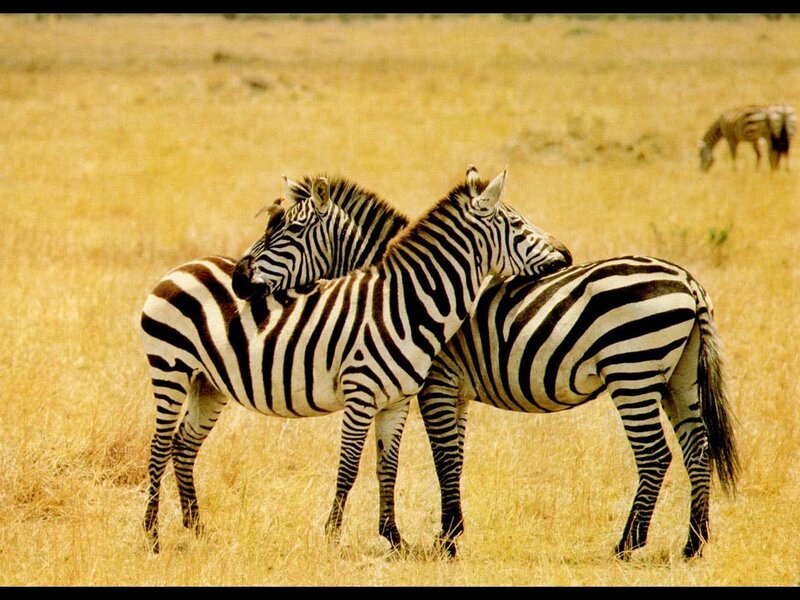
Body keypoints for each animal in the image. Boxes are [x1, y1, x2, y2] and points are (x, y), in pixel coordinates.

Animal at [141, 166, 572, 553]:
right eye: (517, 225)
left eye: (289, 230)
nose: (565, 255)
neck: (405, 303)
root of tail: (183, 266)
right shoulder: (365, 394)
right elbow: (353, 466)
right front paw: (333, 538)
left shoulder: (398, 401)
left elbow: (388, 467)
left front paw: (396, 539)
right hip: (171, 369)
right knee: (159, 447)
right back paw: (152, 536)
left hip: (208, 384)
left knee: (183, 444)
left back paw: (197, 530)